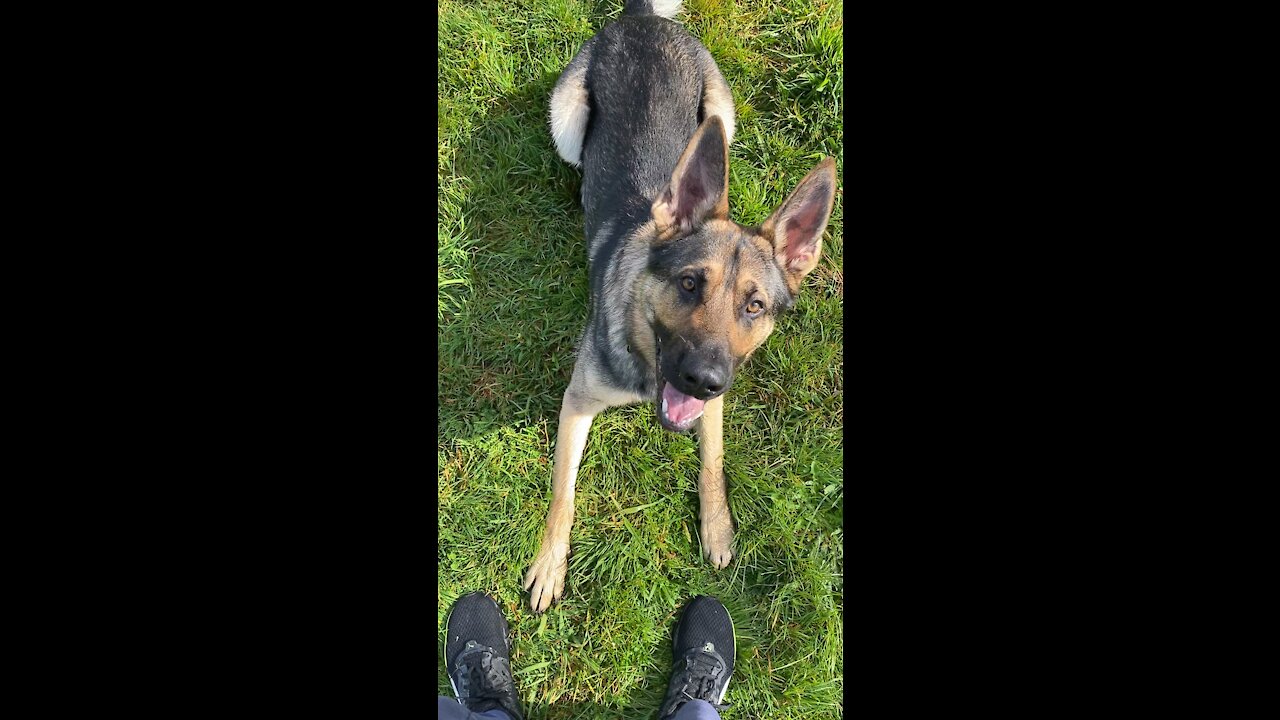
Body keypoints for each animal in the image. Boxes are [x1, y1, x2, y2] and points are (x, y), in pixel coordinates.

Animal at [522, 0, 834, 607]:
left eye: (754, 306)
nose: (704, 380)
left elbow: (712, 460)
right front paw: (549, 565)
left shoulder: (715, 399)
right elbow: (562, 498)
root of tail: (640, 17)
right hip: (566, 122)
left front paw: (718, 527)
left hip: (723, 114)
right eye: (689, 284)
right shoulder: (577, 404)